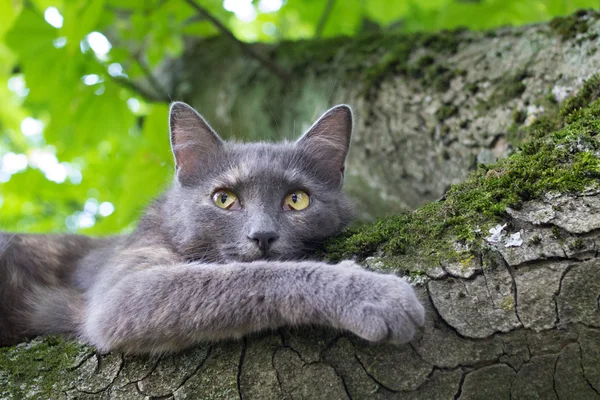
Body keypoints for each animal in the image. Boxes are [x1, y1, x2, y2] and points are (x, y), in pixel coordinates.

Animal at [0, 102, 424, 354]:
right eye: (223, 199)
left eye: (297, 200)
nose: (262, 235)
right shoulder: (121, 290)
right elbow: (248, 276)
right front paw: (377, 294)